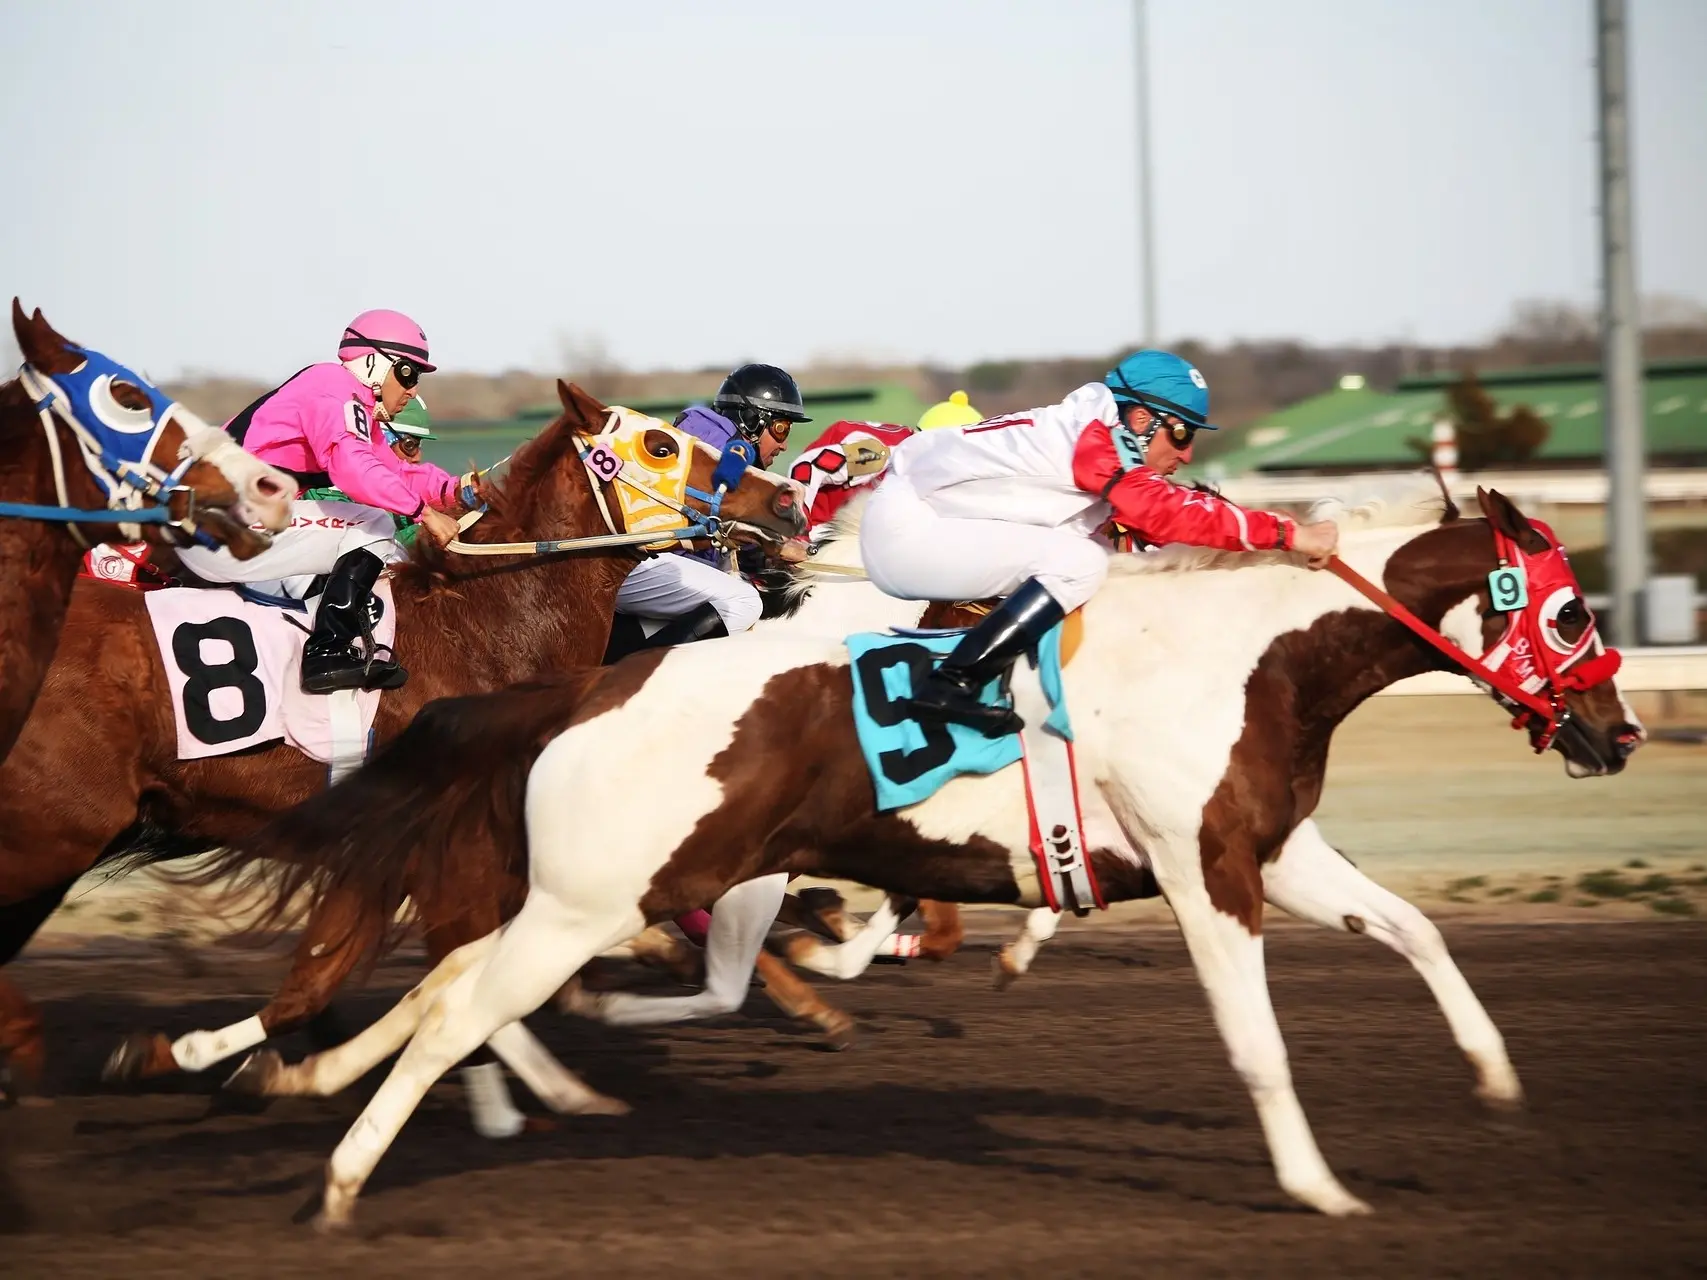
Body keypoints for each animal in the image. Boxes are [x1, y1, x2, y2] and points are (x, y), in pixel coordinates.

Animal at [0, 378, 798, 1105]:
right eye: (660, 445)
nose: (787, 498)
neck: (479, 626)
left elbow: (319, 983)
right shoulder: (424, 844)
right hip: (54, 832)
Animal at [216, 484, 1638, 1235]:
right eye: (1572, 610)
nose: (1617, 732)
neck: (1251, 658)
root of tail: (577, 691)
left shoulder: (1273, 850)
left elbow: (1415, 927)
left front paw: (1495, 1075)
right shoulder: (1206, 875)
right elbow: (1258, 1043)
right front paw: (1317, 1183)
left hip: (598, 894)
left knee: (445, 988)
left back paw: (303, 1077)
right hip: (592, 896)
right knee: (460, 1008)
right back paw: (344, 1172)